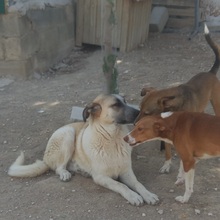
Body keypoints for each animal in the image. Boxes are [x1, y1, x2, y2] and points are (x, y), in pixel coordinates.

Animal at [7, 94, 159, 206]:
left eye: (125, 101)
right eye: (115, 105)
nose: (140, 113)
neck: (112, 139)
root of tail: (45, 158)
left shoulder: (126, 173)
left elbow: (138, 184)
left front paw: (148, 195)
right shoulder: (101, 177)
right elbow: (121, 186)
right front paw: (133, 196)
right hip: (68, 133)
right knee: (58, 167)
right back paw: (65, 173)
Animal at [135, 23, 220, 173]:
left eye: (147, 113)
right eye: (139, 109)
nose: (134, 124)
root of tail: (210, 73)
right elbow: (168, 152)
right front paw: (166, 165)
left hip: (216, 103)